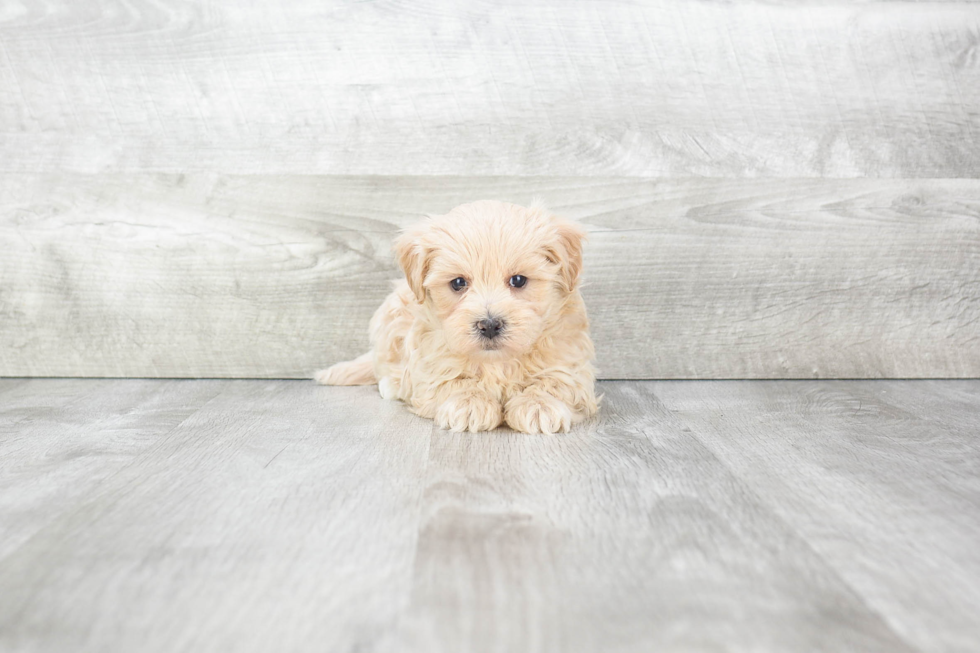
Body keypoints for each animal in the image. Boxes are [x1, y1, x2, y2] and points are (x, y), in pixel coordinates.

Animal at [318, 199, 600, 432]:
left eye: (519, 280)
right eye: (458, 283)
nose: (489, 325)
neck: (498, 361)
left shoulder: (569, 361)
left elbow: (556, 382)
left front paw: (539, 405)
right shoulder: (430, 363)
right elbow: (452, 381)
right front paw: (470, 404)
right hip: (389, 317)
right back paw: (391, 384)